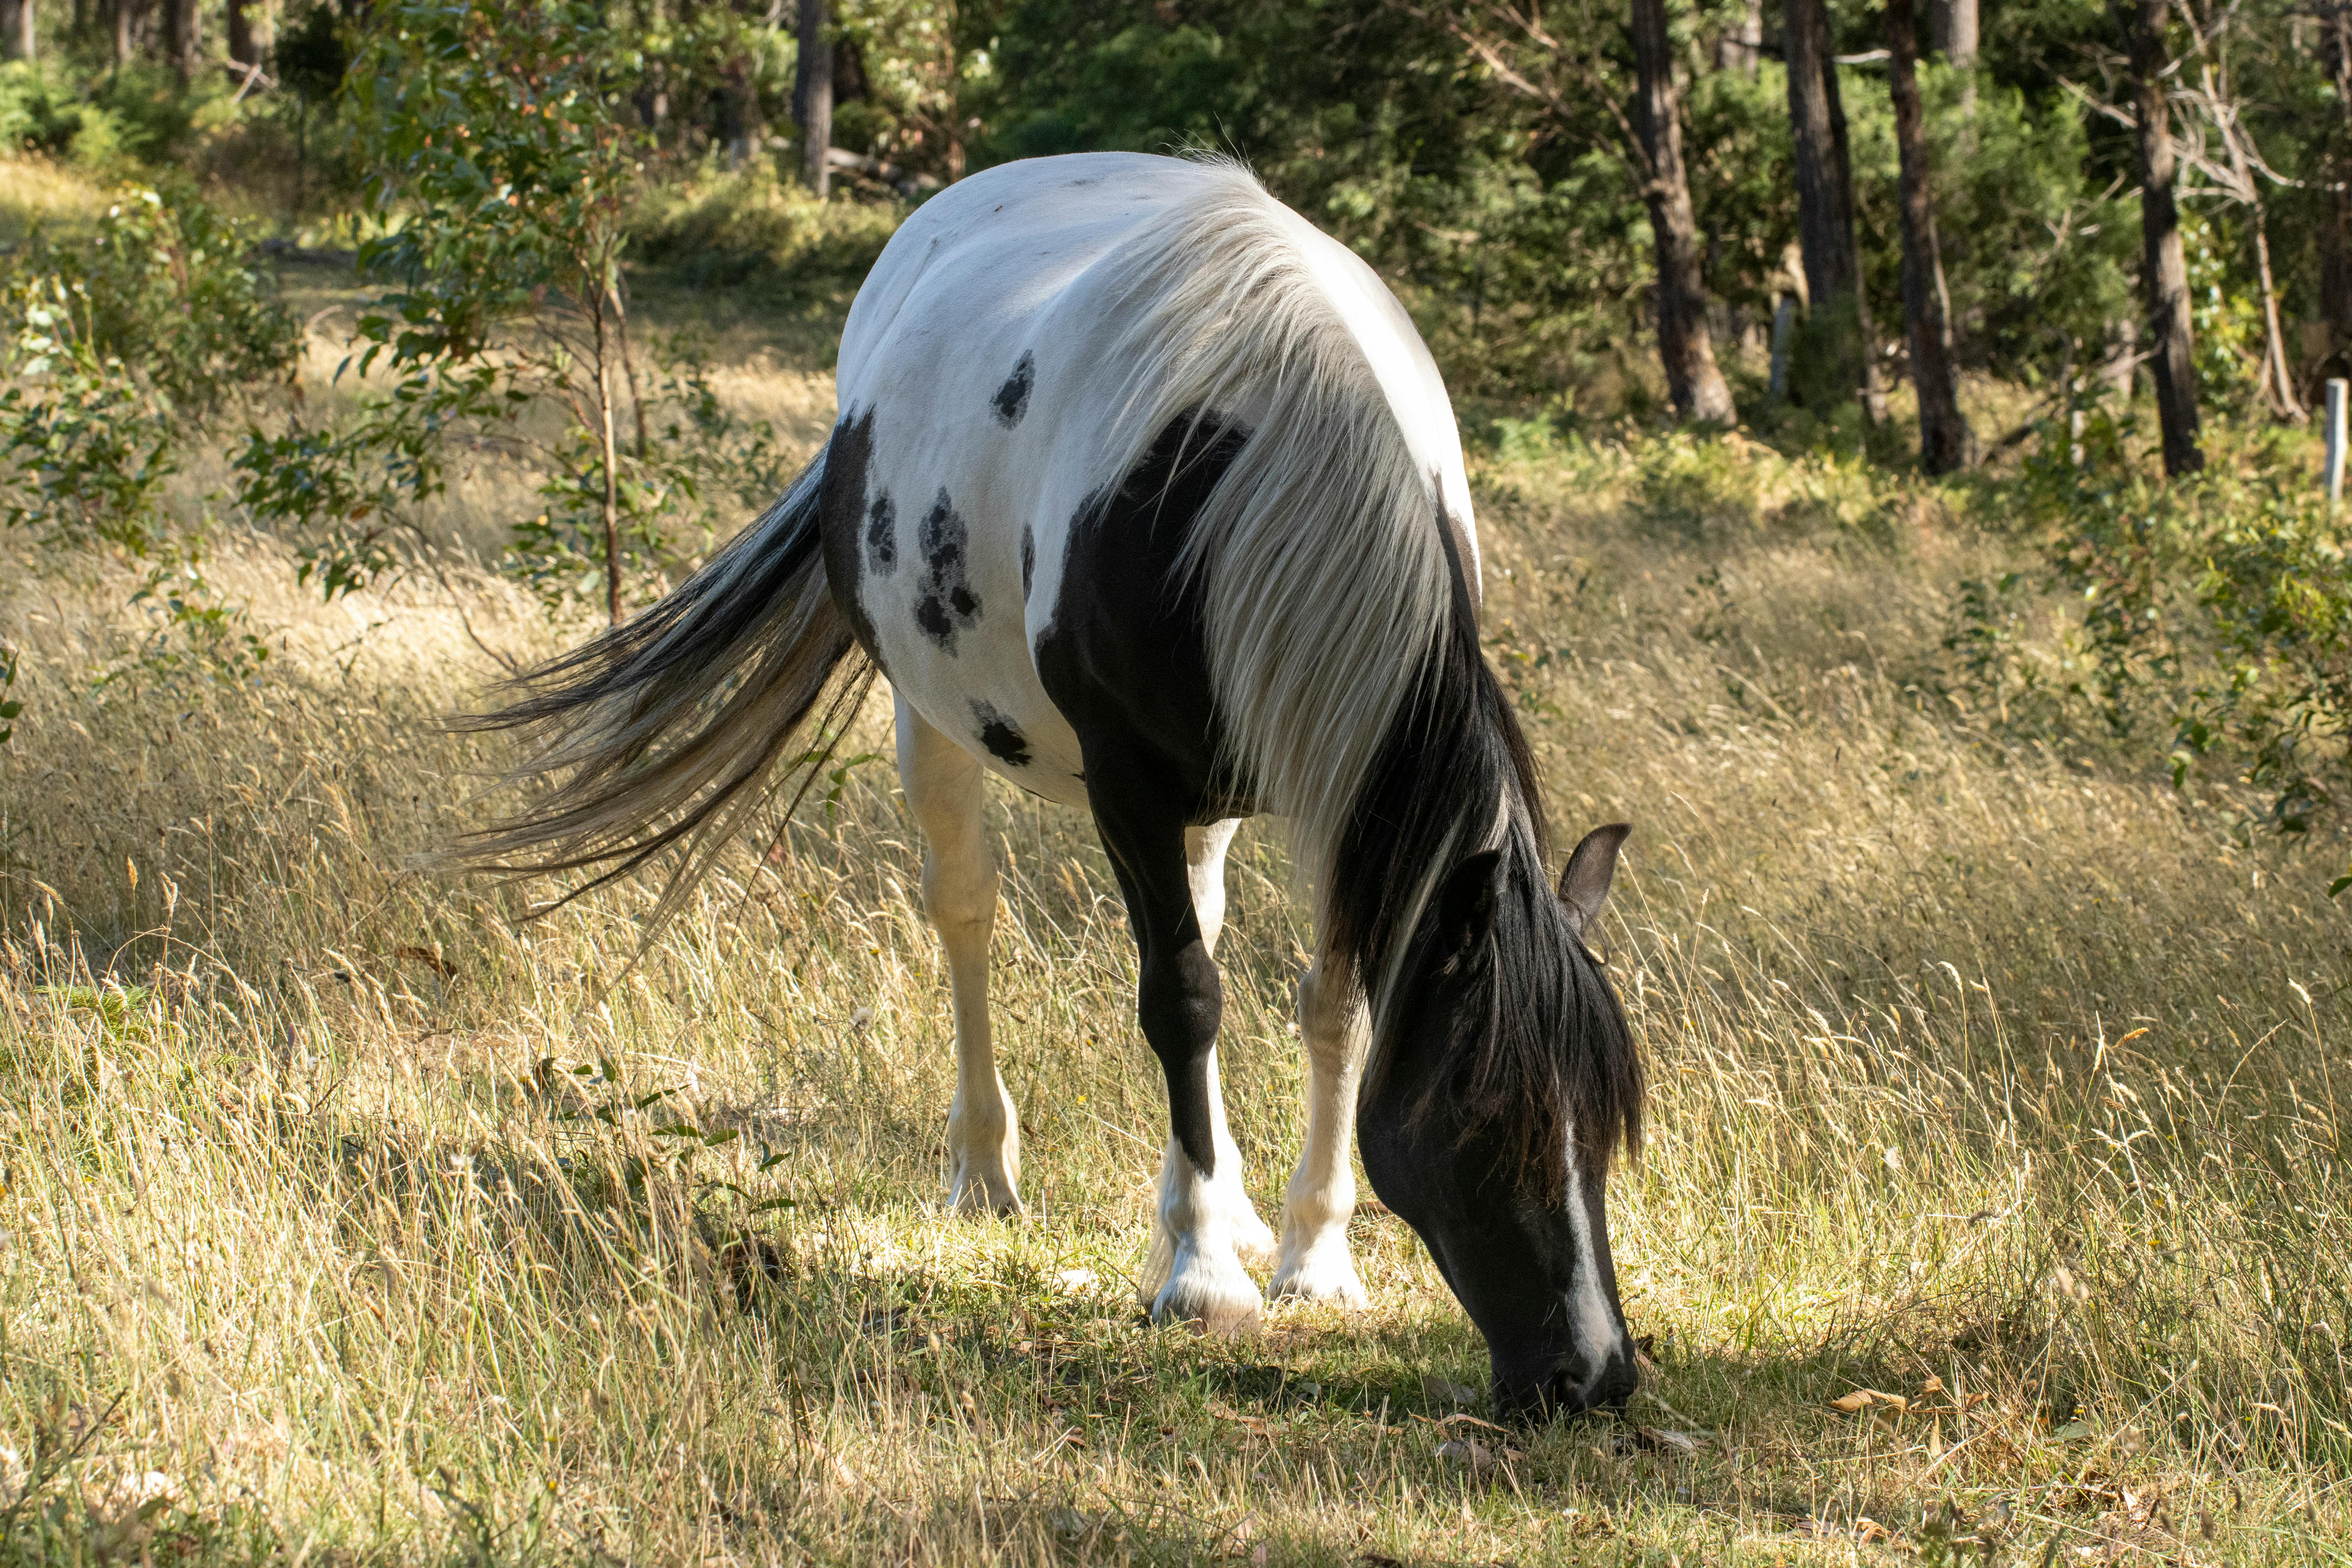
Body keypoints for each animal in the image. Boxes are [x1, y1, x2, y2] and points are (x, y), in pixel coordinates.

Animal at [449, 153, 1646, 1420]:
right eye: (1488, 1117)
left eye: (1606, 1121)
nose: (1592, 1373)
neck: (1243, 464)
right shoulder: (1128, 783)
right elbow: (1180, 1000)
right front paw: (1202, 1275)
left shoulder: (1342, 790)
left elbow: (1335, 1005)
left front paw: (1312, 1257)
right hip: (934, 724)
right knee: (968, 912)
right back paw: (987, 1170)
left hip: (1209, 802)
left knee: (1200, 923)